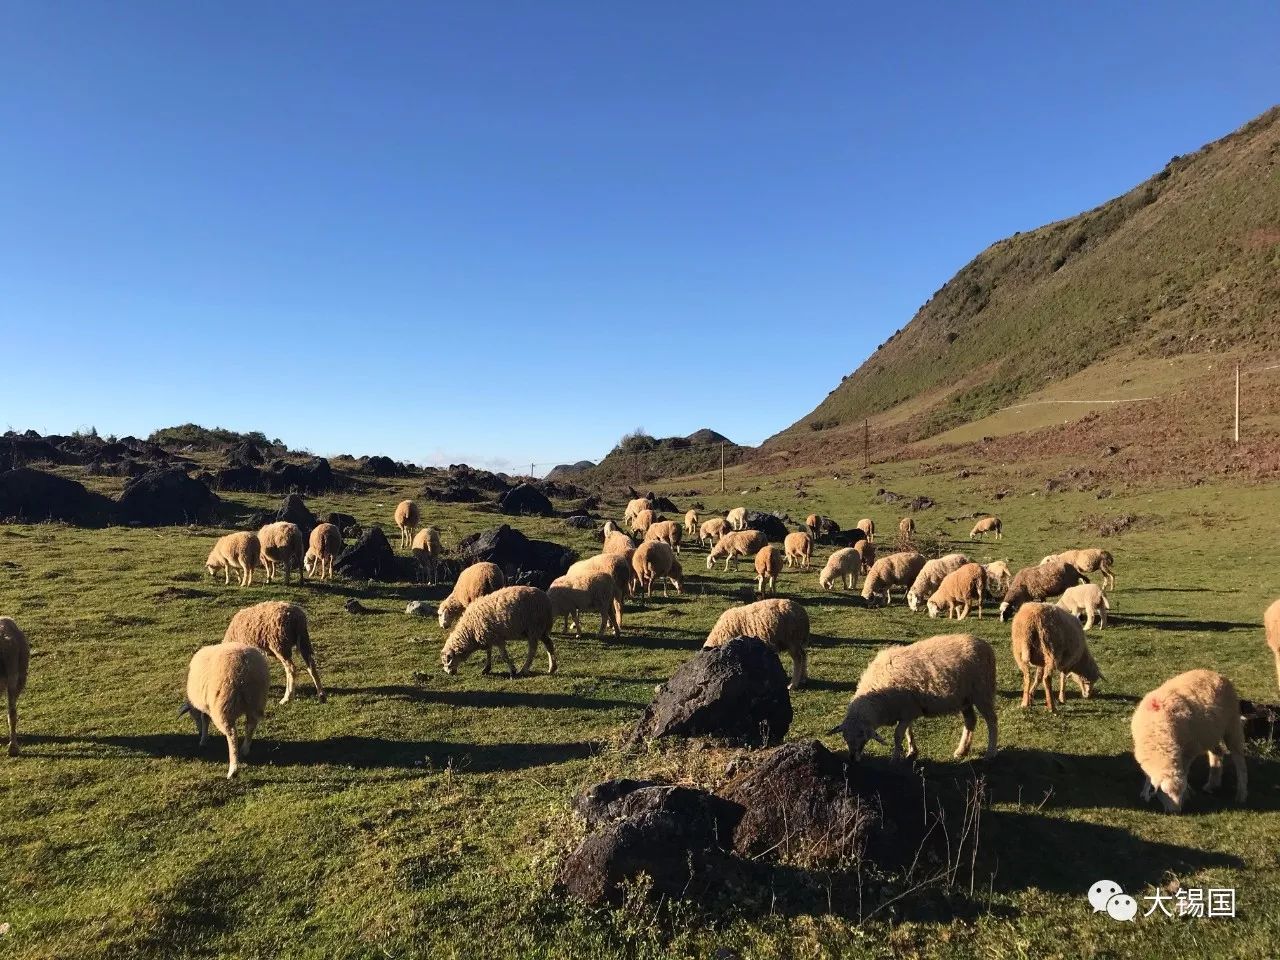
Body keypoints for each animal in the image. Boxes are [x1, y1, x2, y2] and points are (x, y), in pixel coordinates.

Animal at [180, 642, 270, 778]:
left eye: (192, 716)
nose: (199, 733)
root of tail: (246, 666)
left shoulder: (207, 705)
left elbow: (205, 719)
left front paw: (203, 739)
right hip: (256, 701)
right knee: (250, 726)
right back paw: (245, 749)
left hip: (223, 705)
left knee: (232, 734)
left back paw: (233, 769)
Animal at [829, 634, 998, 762]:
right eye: (845, 737)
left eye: (862, 736)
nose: (852, 758)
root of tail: (984, 645)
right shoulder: (907, 710)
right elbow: (908, 732)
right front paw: (912, 752)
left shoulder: (907, 710)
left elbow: (898, 735)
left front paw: (895, 758)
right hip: (965, 699)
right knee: (970, 721)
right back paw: (961, 751)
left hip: (982, 693)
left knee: (992, 721)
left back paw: (990, 752)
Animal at [1136, 670, 1244, 814]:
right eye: (1164, 793)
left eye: (1180, 793)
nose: (1176, 812)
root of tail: (1215, 674)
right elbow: (1149, 777)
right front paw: (1144, 792)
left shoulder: (1189, 750)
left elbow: (1185, 772)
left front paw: (1187, 794)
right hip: (1209, 733)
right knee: (1217, 753)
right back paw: (1212, 784)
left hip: (1232, 724)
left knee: (1239, 760)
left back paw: (1241, 794)